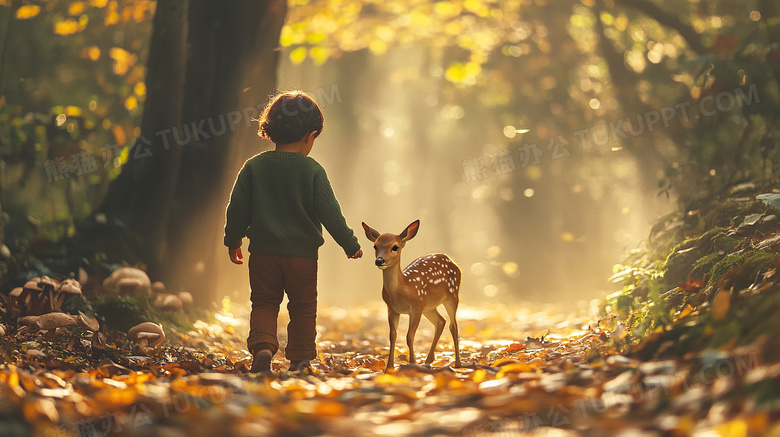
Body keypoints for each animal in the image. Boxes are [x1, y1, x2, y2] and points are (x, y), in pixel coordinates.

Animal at [361, 220, 461, 372]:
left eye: (395, 247)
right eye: (375, 246)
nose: (379, 260)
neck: (403, 287)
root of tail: (451, 260)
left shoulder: (416, 305)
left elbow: (410, 336)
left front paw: (412, 364)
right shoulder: (392, 309)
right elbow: (393, 335)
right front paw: (389, 367)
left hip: (452, 295)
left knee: (453, 326)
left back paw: (458, 364)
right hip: (429, 307)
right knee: (441, 321)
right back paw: (428, 360)